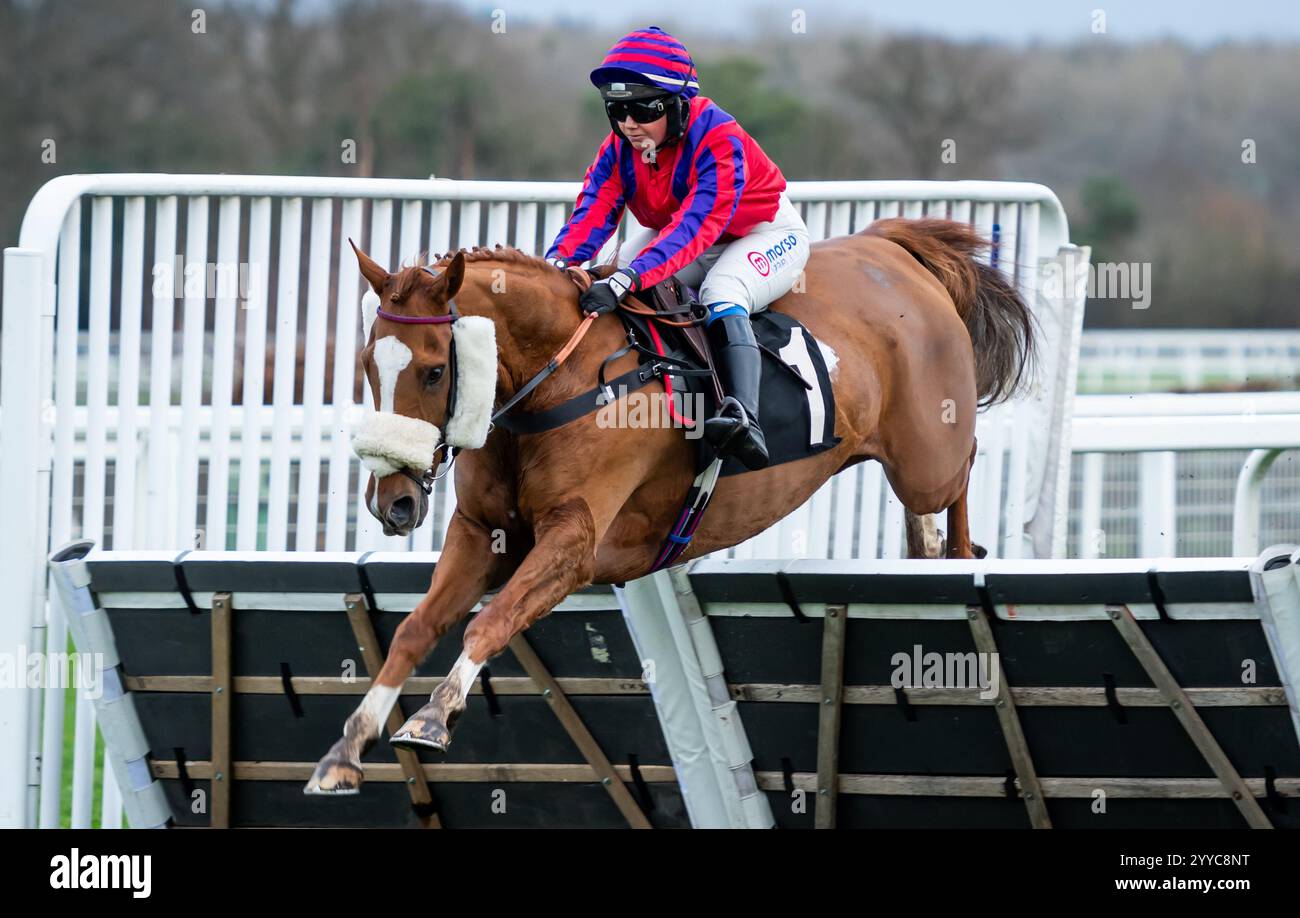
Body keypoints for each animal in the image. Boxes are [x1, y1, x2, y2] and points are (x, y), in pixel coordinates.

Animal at [306, 218, 1034, 790]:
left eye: (434, 371)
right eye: (369, 366)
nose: (394, 501)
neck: (556, 380)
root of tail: (892, 249)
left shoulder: (575, 542)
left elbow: (491, 622)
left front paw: (433, 715)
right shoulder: (481, 531)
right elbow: (414, 629)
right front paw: (347, 747)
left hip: (926, 456)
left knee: (961, 470)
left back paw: (957, 554)